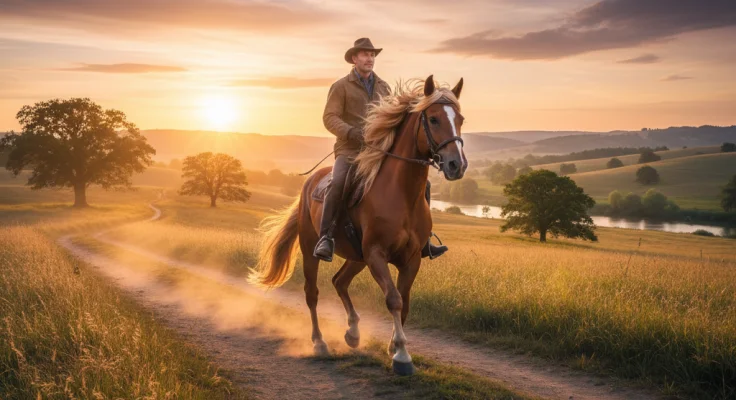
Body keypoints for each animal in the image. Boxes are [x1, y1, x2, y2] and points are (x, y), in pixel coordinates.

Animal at [249, 75, 467, 375]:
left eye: (460, 119)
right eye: (433, 119)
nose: (457, 165)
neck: (401, 194)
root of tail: (309, 183)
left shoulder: (411, 259)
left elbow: (405, 302)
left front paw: (394, 347)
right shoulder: (376, 254)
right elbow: (394, 299)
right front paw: (401, 356)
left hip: (357, 257)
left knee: (339, 281)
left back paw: (352, 333)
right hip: (312, 250)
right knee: (312, 293)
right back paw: (319, 342)